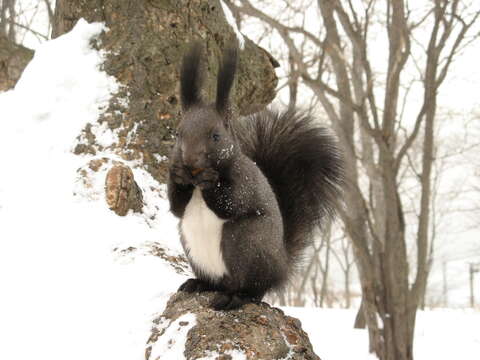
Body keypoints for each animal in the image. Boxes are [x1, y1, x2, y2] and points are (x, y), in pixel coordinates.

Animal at [167, 43, 344, 310]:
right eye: (178, 134)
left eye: (216, 136)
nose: (189, 161)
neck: (195, 183)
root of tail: (282, 265)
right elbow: (177, 208)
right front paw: (177, 175)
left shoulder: (245, 180)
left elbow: (232, 203)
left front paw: (211, 181)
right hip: (191, 245)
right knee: (215, 282)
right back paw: (198, 284)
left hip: (246, 241)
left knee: (254, 288)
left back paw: (236, 297)